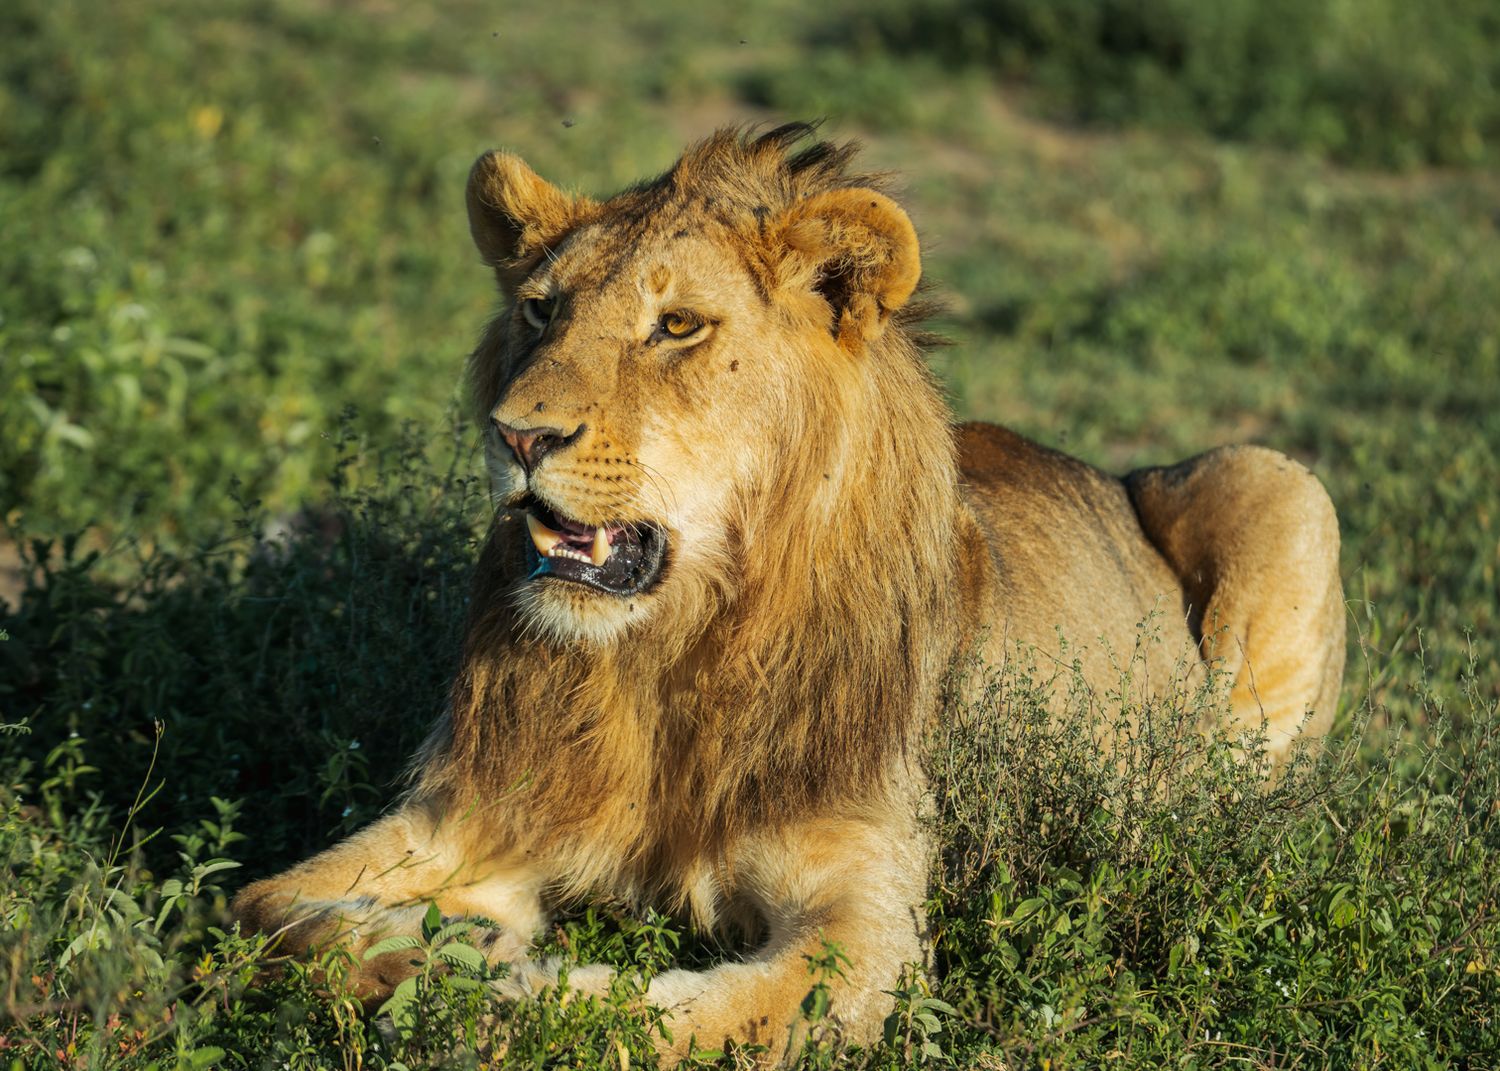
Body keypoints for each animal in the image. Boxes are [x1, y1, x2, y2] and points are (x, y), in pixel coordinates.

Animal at [233, 123, 1345, 1062]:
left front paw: (492, 992)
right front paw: (448, 946)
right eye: (541, 308)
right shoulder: (471, 814)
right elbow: (262, 911)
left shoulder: (867, 918)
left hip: (1278, 482)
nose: (516, 434)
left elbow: (637, 1023)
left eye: (678, 325)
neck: (665, 653)